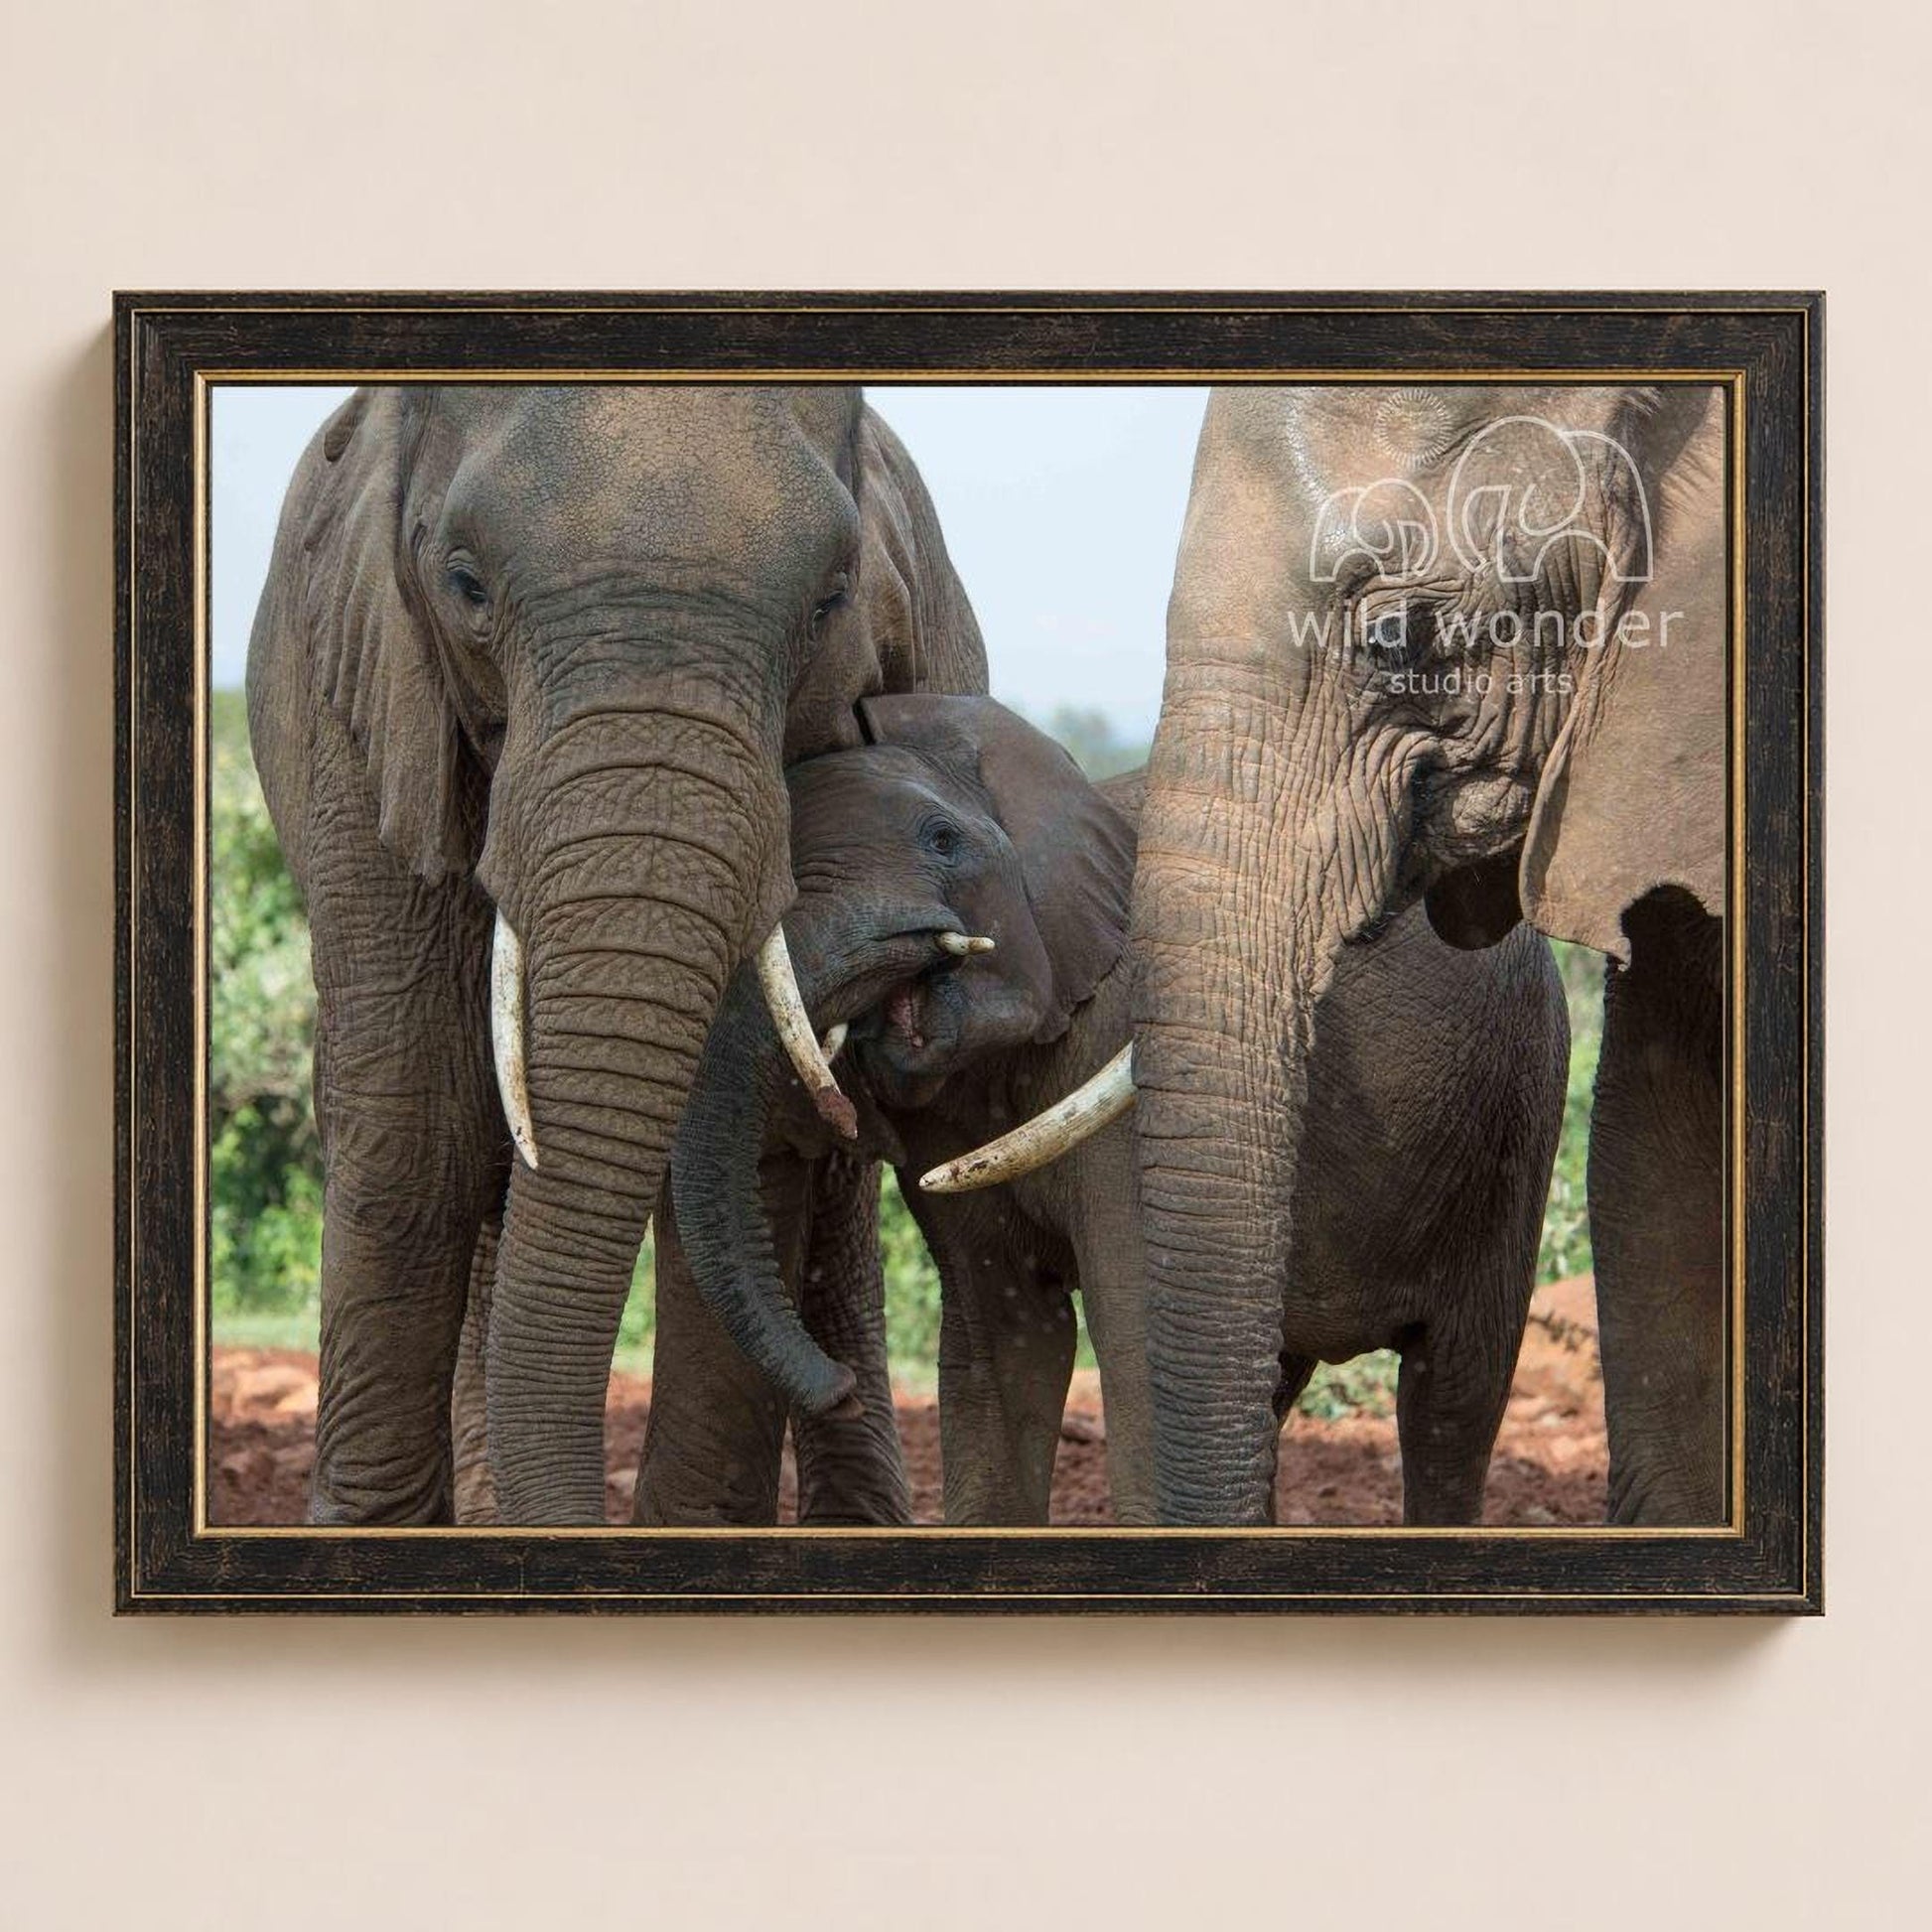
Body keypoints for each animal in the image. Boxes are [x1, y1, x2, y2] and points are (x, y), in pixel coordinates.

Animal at [246, 384, 987, 1524]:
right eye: (465, 585)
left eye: (831, 602)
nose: (830, 1383)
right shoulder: (357, 707)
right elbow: (420, 1115)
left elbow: (732, 1126)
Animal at [657, 696, 1568, 1526]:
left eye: (942, 840)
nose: (841, 1388)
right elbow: (1003, 1337)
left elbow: (1136, 1327)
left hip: (1516, 1121)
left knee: (1452, 1395)